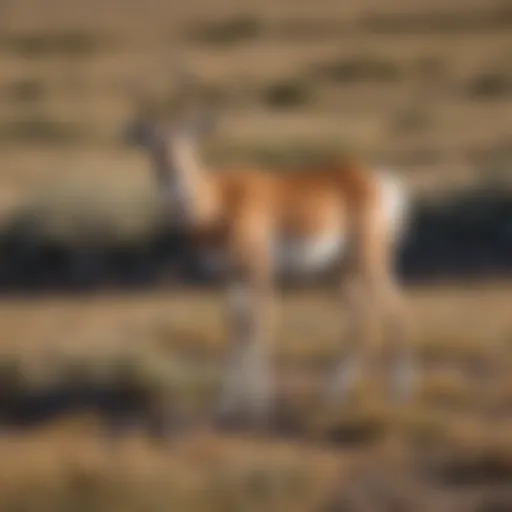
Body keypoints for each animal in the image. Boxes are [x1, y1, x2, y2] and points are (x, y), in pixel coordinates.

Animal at [124, 78, 416, 426]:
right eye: (154, 146)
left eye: (188, 141)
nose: (173, 177)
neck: (220, 201)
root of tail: (376, 180)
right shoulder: (229, 276)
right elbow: (236, 327)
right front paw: (227, 405)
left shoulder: (258, 269)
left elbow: (259, 323)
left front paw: (259, 407)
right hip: (341, 272)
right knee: (362, 320)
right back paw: (332, 396)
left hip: (369, 261)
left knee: (396, 309)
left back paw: (399, 395)